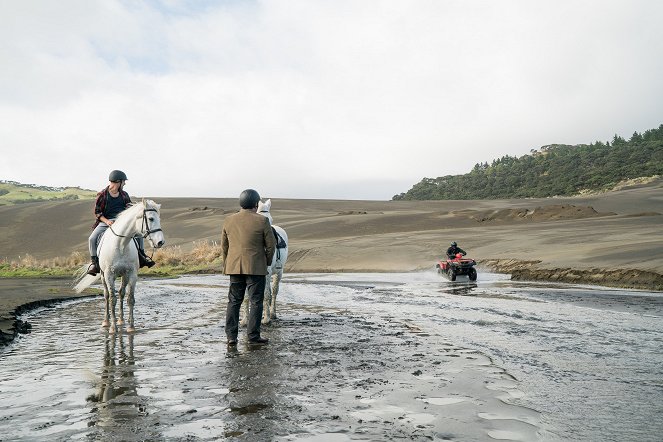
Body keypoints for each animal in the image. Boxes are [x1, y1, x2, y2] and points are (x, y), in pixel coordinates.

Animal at [73, 199, 164, 332]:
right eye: (151, 218)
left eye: (159, 218)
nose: (160, 242)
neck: (121, 245)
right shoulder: (109, 275)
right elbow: (112, 299)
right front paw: (113, 328)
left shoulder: (132, 274)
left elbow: (130, 299)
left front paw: (131, 327)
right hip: (103, 276)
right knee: (106, 295)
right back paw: (106, 321)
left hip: (123, 276)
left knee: (121, 293)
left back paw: (120, 320)